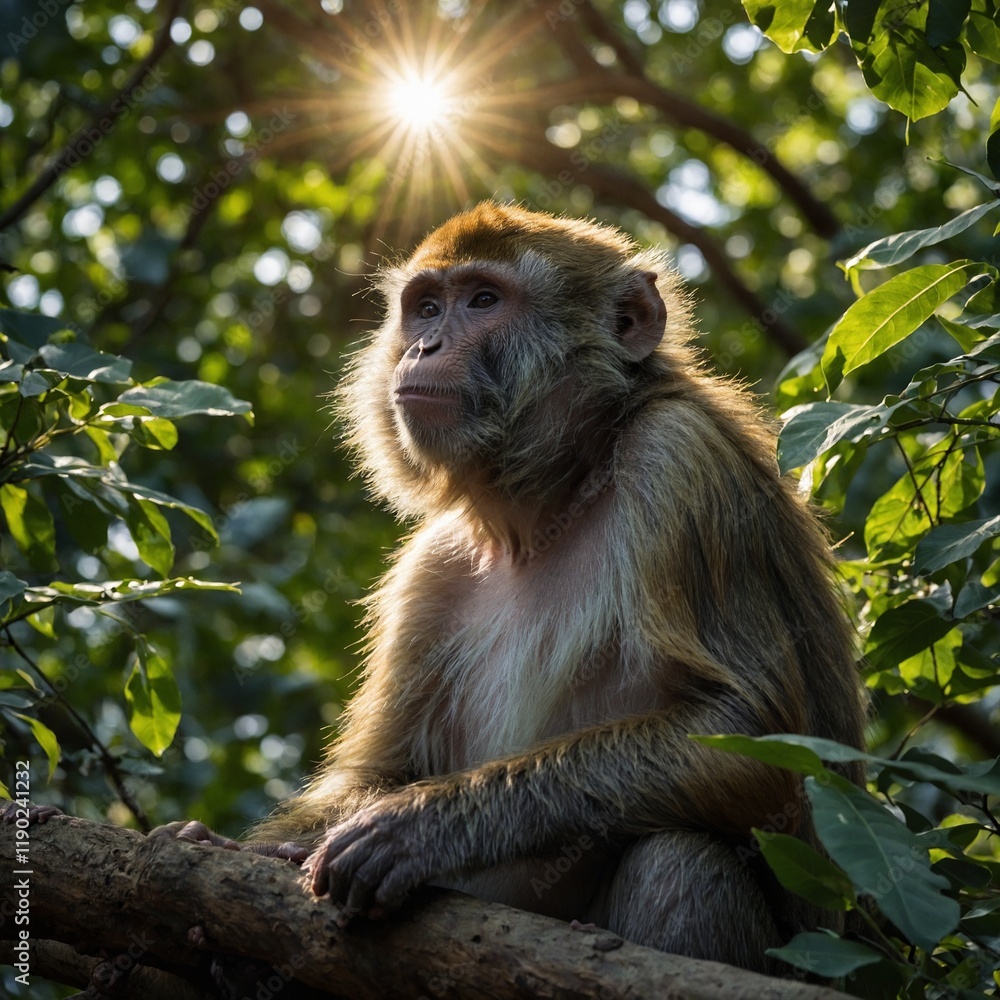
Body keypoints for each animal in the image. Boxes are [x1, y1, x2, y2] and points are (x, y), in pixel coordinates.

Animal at [157, 201, 866, 975]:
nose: (423, 347)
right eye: (426, 307)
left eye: (483, 301)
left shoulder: (680, 461)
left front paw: (422, 827)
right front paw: (251, 853)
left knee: (680, 861)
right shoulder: (434, 565)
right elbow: (385, 768)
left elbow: (755, 735)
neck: (553, 501)